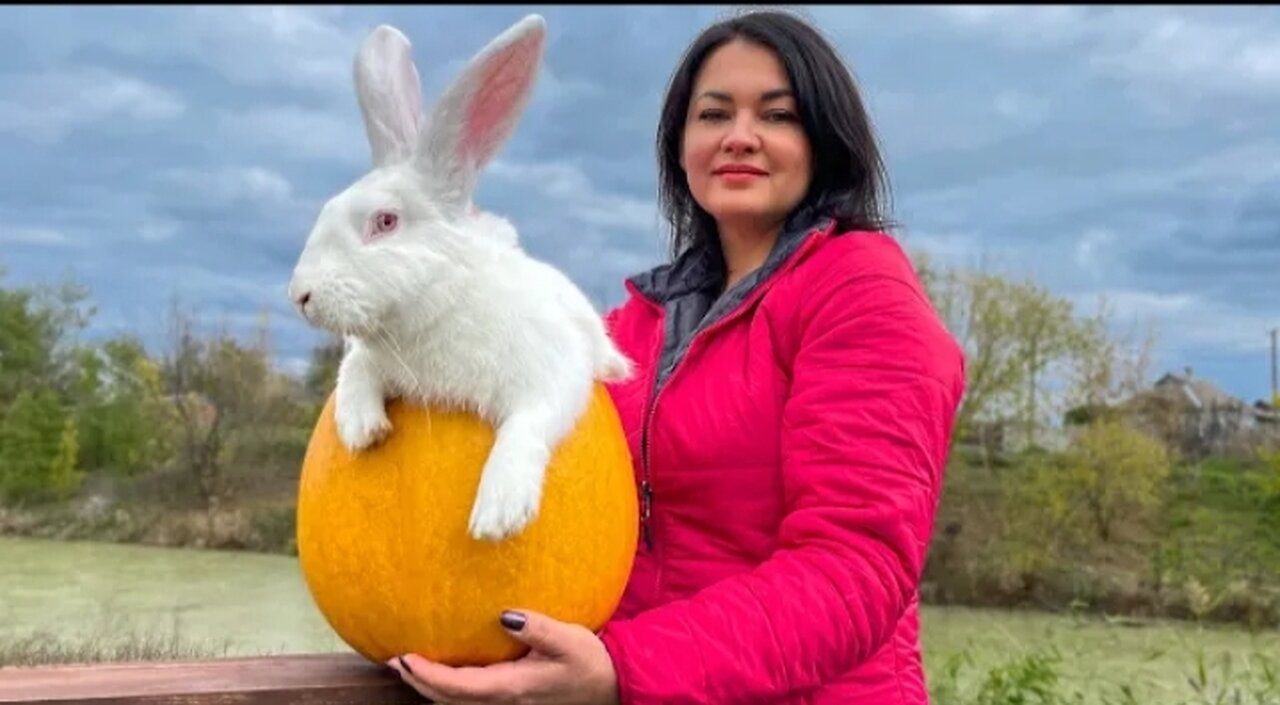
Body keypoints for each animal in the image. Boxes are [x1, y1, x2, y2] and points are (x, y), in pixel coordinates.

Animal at [286, 16, 634, 542]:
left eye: (385, 221)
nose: (300, 295)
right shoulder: (368, 356)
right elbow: (353, 372)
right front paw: (362, 429)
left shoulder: (554, 371)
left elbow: (529, 423)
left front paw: (498, 513)